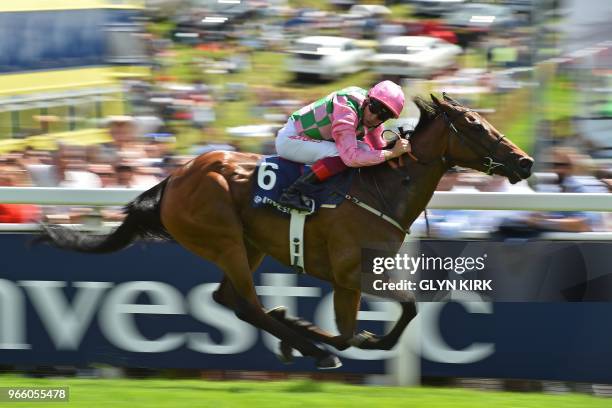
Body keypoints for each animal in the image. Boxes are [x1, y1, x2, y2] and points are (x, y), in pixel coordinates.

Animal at [38, 94, 532, 368]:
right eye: (474, 125)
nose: (525, 162)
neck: (384, 188)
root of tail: (173, 180)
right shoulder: (350, 274)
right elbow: (355, 330)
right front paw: (320, 335)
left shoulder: (372, 271)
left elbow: (405, 312)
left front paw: (330, 332)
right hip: (224, 240)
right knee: (249, 306)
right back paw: (308, 346)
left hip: (248, 244)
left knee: (229, 299)